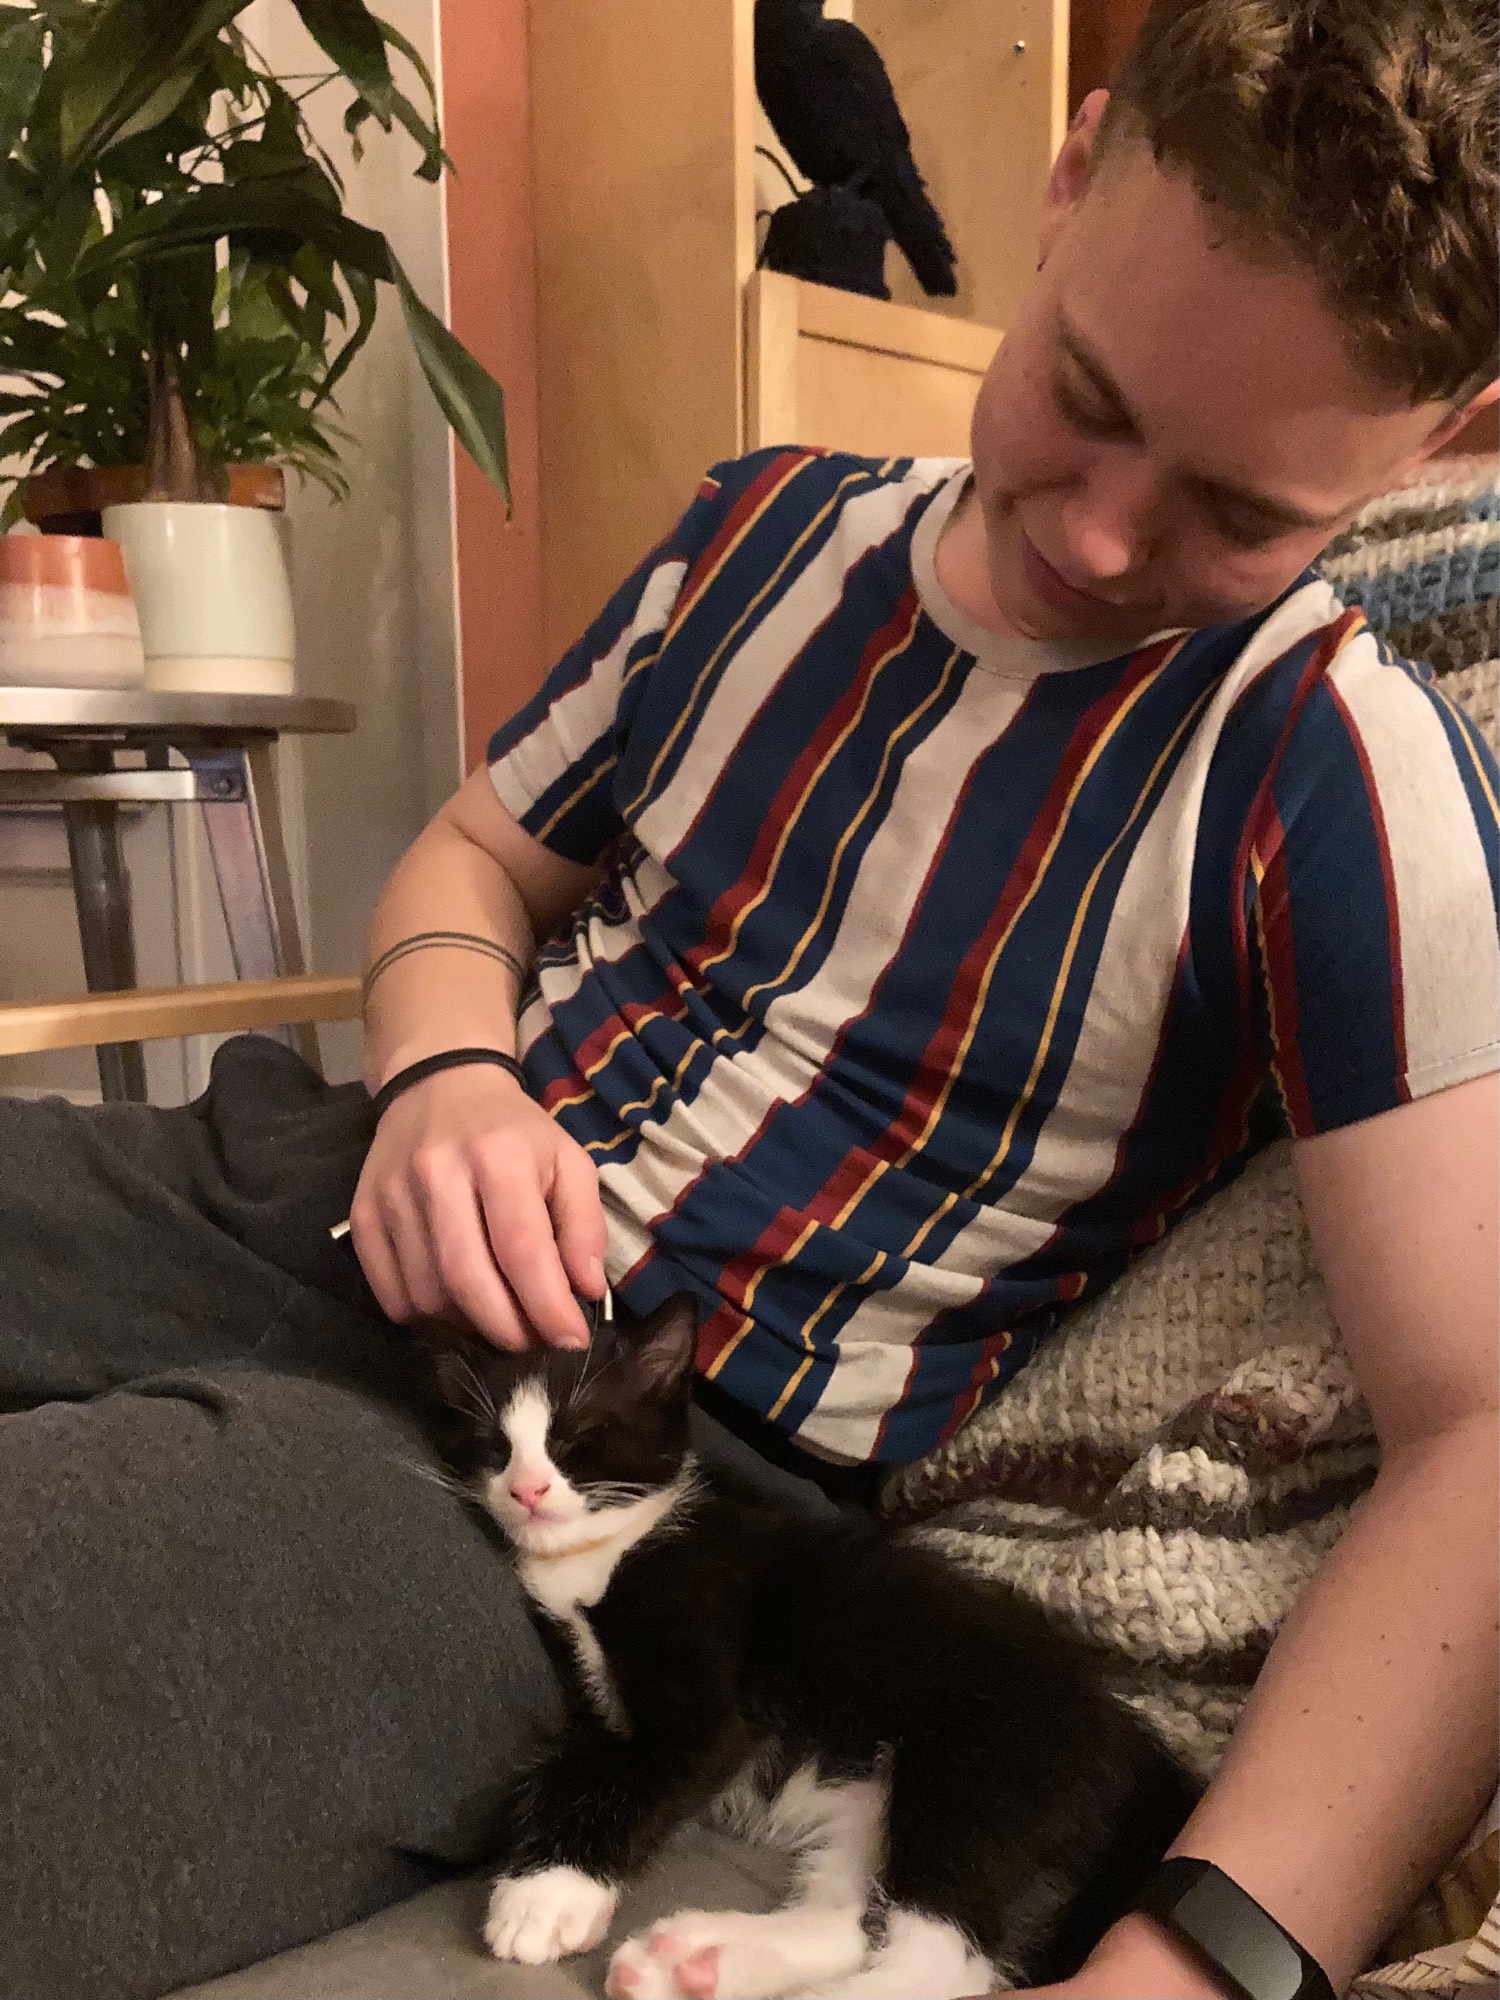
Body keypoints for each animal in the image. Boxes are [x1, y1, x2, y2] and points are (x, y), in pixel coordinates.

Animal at [424, 1296, 1198, 2000]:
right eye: (493, 1445)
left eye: (580, 1435)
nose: (526, 1489)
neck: (606, 1550)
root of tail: (1136, 1745)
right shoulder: (593, 1696)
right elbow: (579, 1767)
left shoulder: (707, 1643)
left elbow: (653, 1763)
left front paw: (547, 1897)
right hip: (866, 1793)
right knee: (859, 1919)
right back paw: (697, 1961)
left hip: (987, 1774)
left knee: (940, 1963)